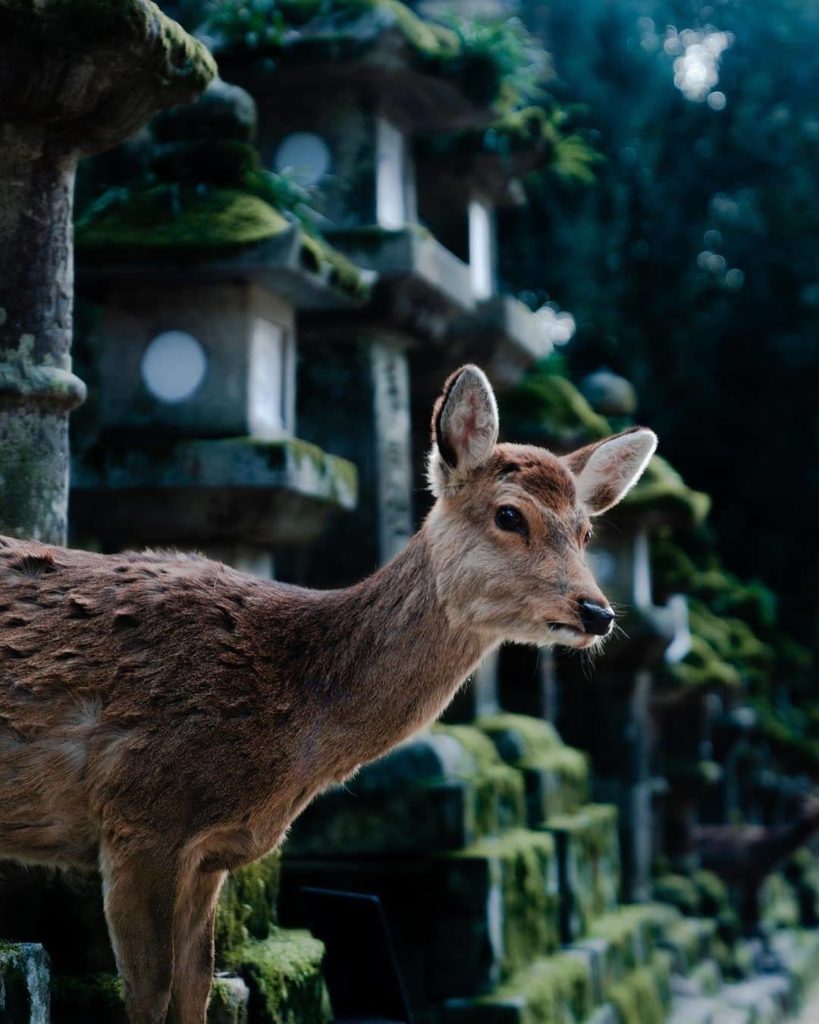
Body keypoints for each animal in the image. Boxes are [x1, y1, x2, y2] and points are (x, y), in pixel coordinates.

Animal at [0, 365, 656, 1024]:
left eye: (586, 530)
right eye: (510, 516)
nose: (597, 611)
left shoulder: (206, 856)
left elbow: (197, 988)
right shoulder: (140, 818)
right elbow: (148, 994)